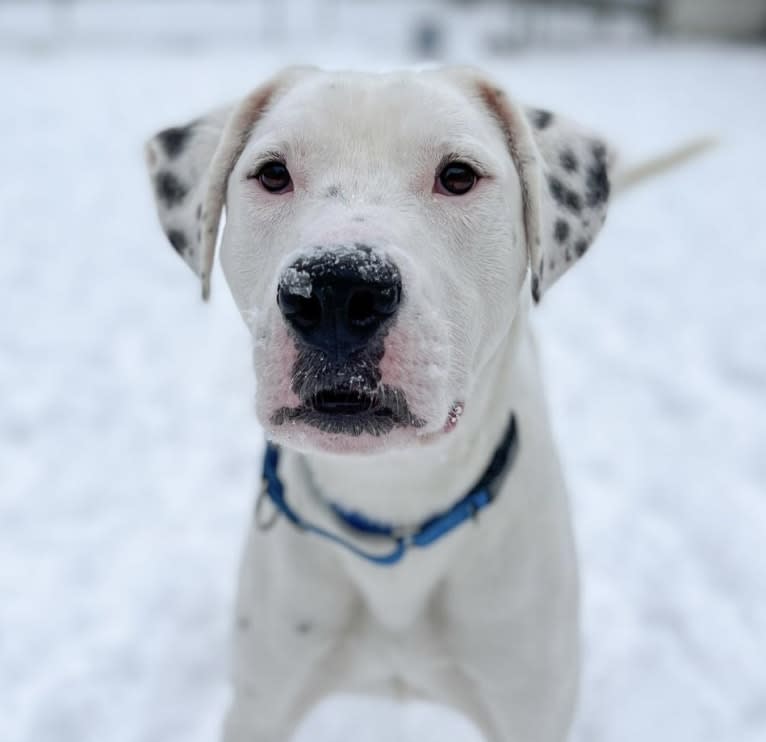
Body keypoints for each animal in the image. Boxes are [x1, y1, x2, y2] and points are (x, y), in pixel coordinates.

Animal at [146, 67, 712, 740]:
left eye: (459, 175)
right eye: (273, 173)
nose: (336, 290)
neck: (396, 500)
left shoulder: (531, 705)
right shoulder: (261, 702)